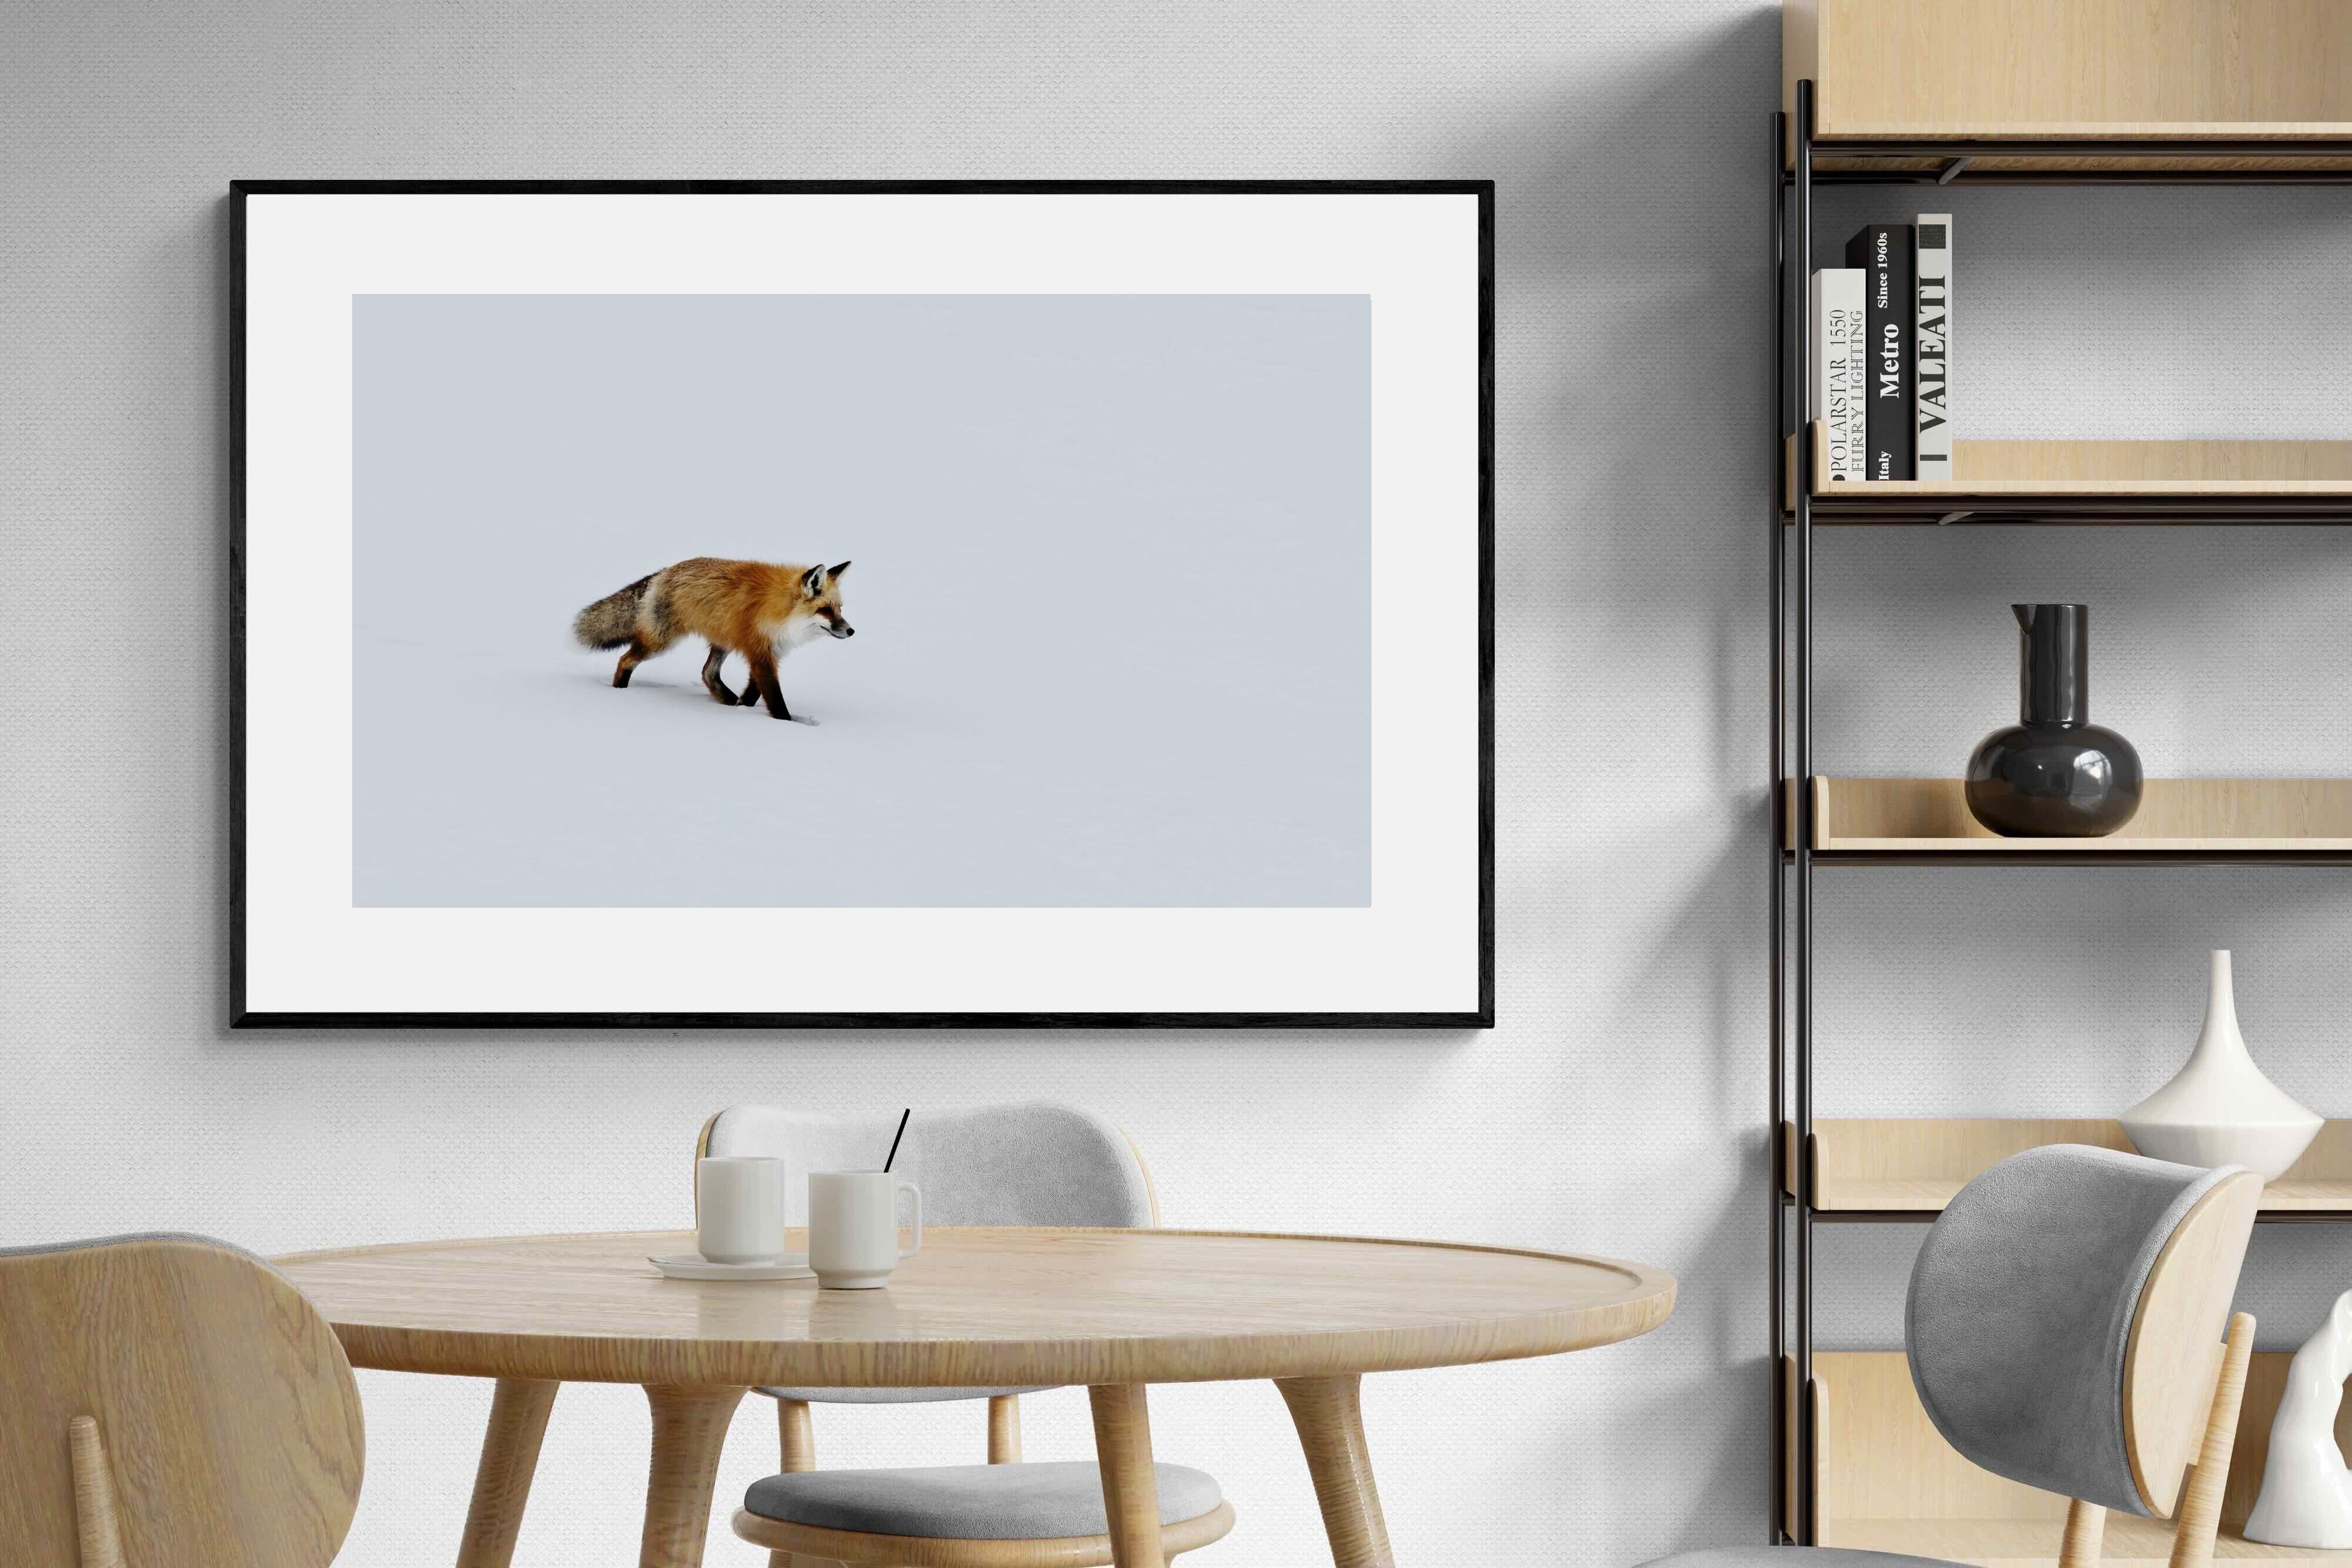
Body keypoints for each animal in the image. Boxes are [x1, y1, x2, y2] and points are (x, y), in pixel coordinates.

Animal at [572, 557, 853, 723]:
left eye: (840, 609)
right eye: (826, 611)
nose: (851, 631)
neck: (781, 613)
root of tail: (663, 572)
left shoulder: (767, 652)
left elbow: (753, 693)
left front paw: (743, 708)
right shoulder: (760, 653)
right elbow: (775, 698)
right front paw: (786, 723)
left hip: (722, 641)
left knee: (708, 673)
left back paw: (728, 701)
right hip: (659, 643)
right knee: (625, 659)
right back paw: (619, 692)